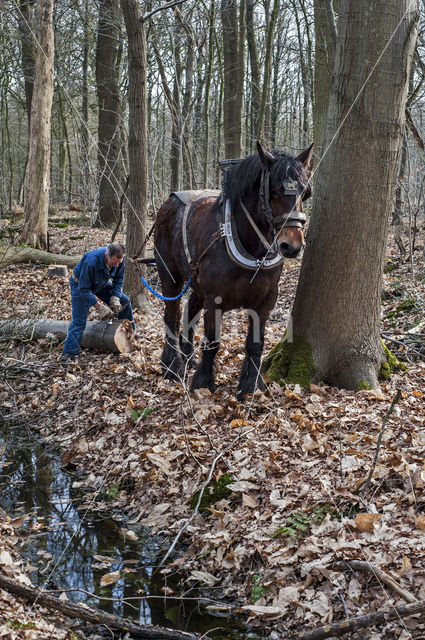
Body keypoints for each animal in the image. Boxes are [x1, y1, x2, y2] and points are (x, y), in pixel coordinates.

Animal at [152, 142, 312, 398]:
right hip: (169, 276)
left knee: (189, 312)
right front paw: (203, 382)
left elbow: (255, 343)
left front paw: (250, 384)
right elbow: (212, 341)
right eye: (274, 191)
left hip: (196, 284)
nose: (292, 245)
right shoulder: (214, 299)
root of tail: (169, 203)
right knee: (172, 316)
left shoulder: (266, 300)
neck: (249, 247)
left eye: (305, 192)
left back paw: (188, 357)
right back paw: (171, 366)